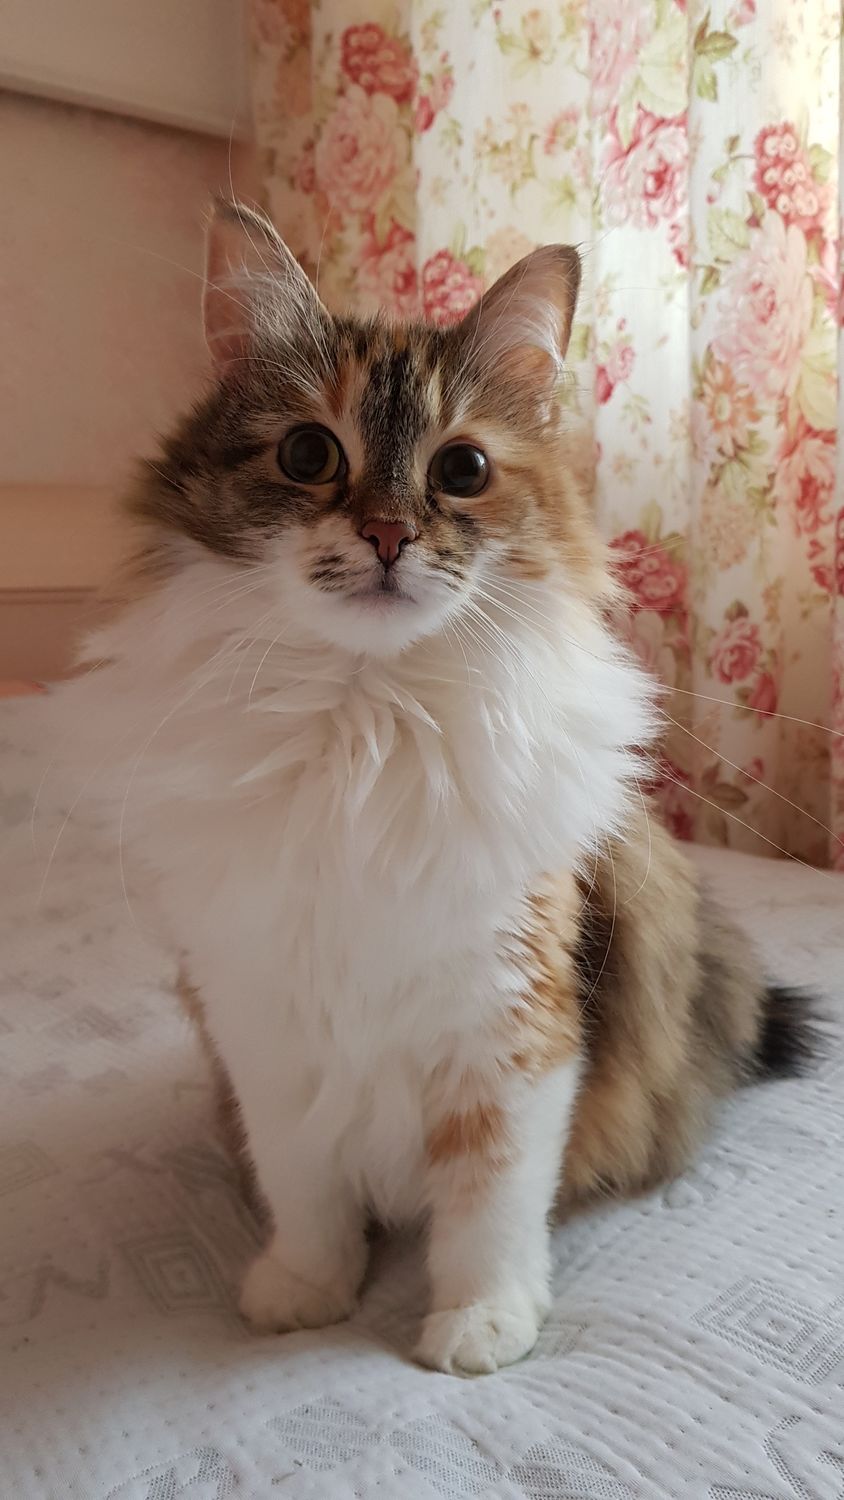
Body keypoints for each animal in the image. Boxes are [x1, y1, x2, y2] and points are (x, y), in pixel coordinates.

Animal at [53, 199, 814, 1375]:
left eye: (460, 471)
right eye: (309, 453)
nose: (386, 534)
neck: (365, 731)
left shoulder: (510, 1023)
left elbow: (487, 1202)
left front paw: (479, 1326)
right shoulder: (263, 1017)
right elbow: (304, 1187)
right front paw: (304, 1291)